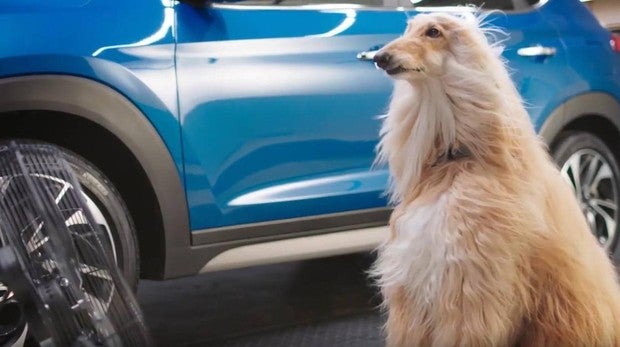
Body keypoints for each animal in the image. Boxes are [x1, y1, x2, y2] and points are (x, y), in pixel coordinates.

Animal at [370, 11, 620, 347]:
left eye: (433, 32)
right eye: (407, 29)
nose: (378, 57)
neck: (457, 161)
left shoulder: (469, 292)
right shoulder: (414, 294)